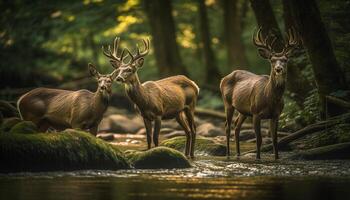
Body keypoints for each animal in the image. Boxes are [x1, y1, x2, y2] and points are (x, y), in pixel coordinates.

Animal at [220, 27, 300, 159]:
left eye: (285, 60)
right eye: (272, 60)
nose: (278, 69)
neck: (271, 99)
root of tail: (223, 79)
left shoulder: (276, 115)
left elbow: (274, 139)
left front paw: (277, 157)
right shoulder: (256, 113)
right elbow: (259, 139)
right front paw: (258, 157)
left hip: (244, 110)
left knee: (237, 126)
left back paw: (238, 153)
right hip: (228, 103)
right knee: (227, 126)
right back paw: (228, 154)